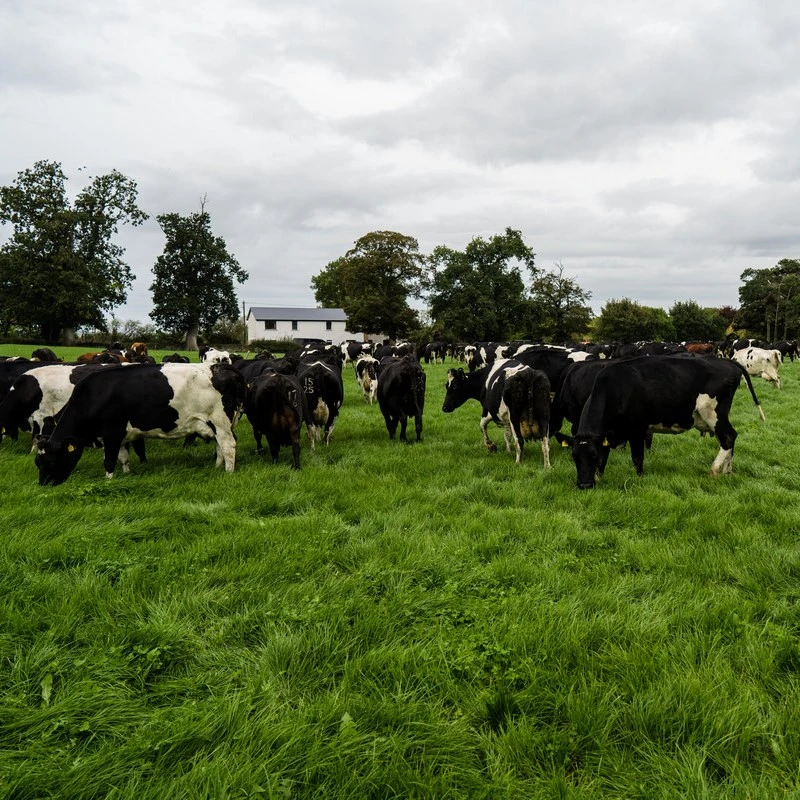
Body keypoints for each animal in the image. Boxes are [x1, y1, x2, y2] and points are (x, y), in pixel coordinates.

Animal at [36, 364, 244, 488]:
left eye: (51, 462)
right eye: (38, 462)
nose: (44, 484)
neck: (93, 395)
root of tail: (219, 367)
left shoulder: (111, 433)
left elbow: (109, 460)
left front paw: (108, 481)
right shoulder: (120, 436)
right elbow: (123, 457)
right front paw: (127, 473)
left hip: (220, 420)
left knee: (228, 445)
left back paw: (228, 472)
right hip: (215, 424)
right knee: (220, 445)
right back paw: (217, 467)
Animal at [572, 354, 764, 488]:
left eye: (592, 455)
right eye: (574, 457)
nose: (584, 485)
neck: (615, 389)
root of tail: (726, 362)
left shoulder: (637, 429)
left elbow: (637, 458)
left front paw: (639, 478)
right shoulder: (607, 433)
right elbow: (604, 459)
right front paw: (599, 477)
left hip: (713, 413)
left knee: (728, 437)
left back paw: (715, 470)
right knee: (730, 438)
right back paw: (727, 471)